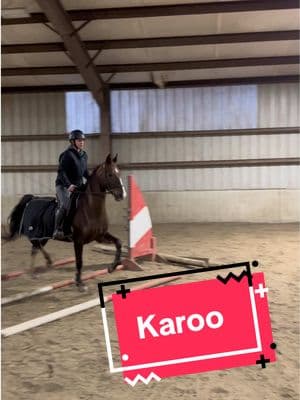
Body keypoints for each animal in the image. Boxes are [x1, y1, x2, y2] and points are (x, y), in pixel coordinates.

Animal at [4, 154, 126, 290]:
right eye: (110, 174)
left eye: (119, 173)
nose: (122, 195)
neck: (90, 208)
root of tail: (32, 199)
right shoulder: (78, 241)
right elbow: (79, 261)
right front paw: (80, 283)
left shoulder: (100, 236)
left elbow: (118, 242)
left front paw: (112, 267)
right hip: (36, 233)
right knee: (36, 245)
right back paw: (47, 263)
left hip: (44, 236)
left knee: (35, 248)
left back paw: (35, 272)